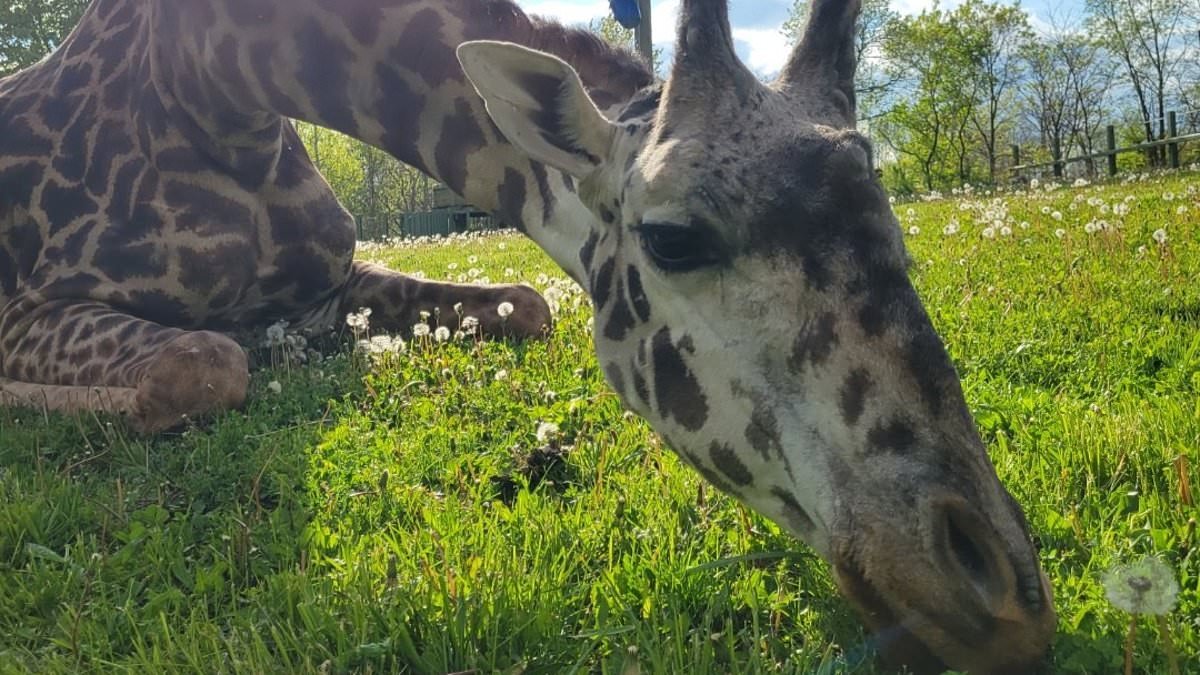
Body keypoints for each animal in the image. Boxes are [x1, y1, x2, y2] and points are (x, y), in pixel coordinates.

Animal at [0, 0, 1056, 671]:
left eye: (891, 220)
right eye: (673, 238)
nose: (1003, 595)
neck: (220, 86)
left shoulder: (334, 282)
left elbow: (527, 303)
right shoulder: (28, 308)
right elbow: (201, 362)